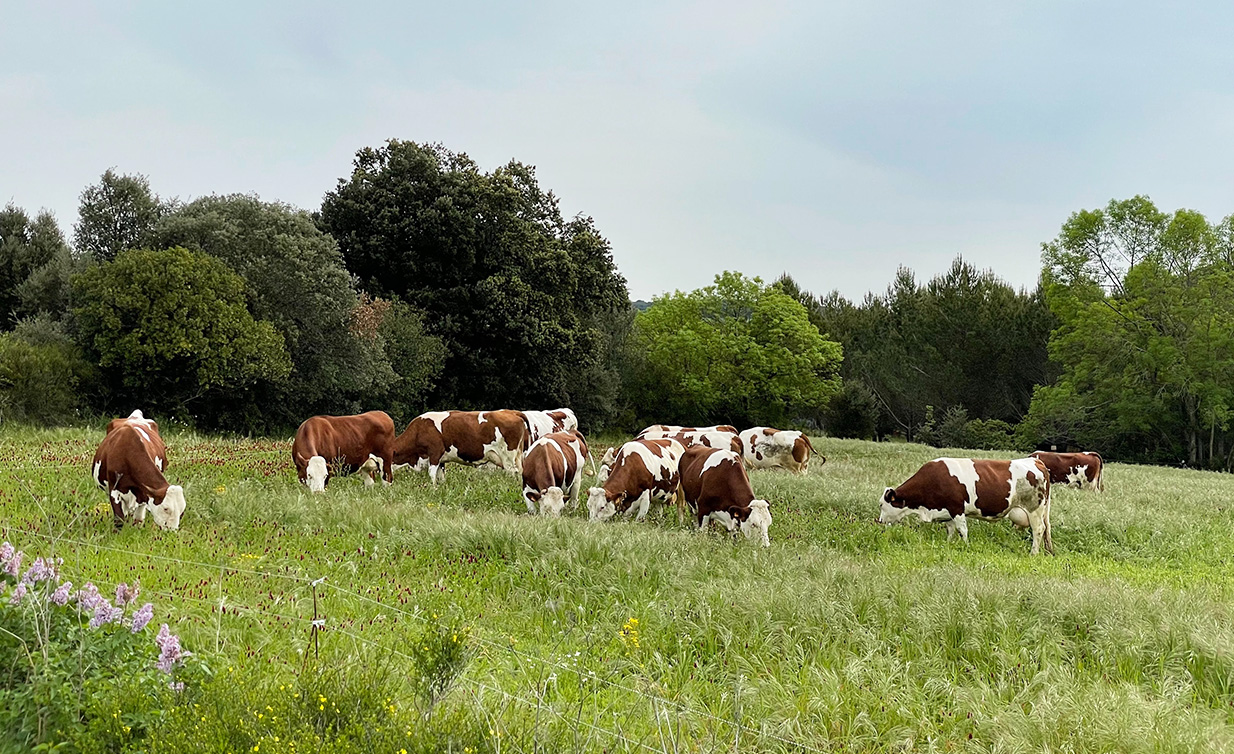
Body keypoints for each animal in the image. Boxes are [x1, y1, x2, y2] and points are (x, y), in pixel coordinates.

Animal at [392, 410, 528, 484]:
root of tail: (511, 412)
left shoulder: (435, 453)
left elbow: (431, 474)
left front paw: (433, 488)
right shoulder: (441, 459)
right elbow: (441, 476)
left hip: (508, 457)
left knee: (513, 472)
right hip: (517, 456)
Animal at [878, 457, 1054, 555]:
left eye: (881, 505)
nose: (879, 521)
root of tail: (1036, 461)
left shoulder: (957, 509)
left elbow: (962, 530)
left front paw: (966, 546)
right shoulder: (947, 512)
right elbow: (950, 530)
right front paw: (948, 544)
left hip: (1034, 509)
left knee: (1038, 530)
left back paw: (1033, 553)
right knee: (1046, 529)